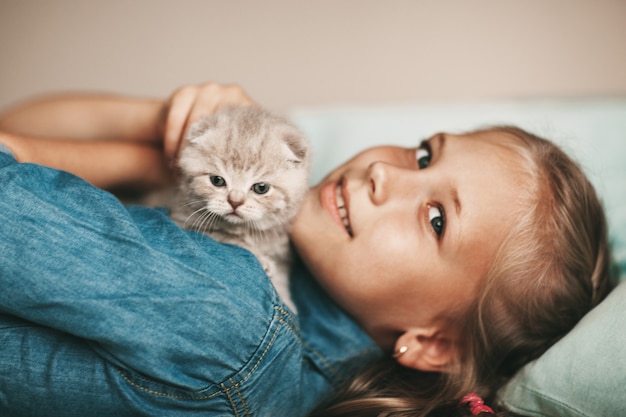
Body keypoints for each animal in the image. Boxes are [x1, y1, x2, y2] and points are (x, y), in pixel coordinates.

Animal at [169, 105, 308, 312]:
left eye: (261, 188)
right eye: (217, 180)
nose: (235, 201)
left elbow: (281, 279)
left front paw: (287, 302)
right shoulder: (182, 220)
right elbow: (228, 238)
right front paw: (262, 260)